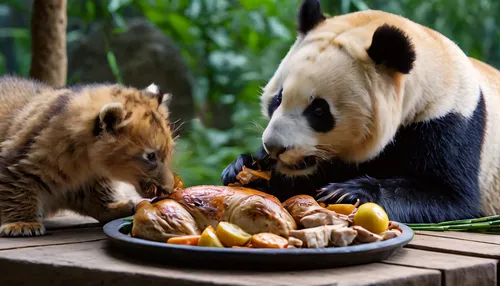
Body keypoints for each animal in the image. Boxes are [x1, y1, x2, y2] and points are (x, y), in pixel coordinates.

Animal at [222, 0, 500, 223]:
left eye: (319, 110)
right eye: (278, 98)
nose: (275, 147)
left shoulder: (451, 119)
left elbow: (450, 196)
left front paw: (348, 192)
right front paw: (245, 167)